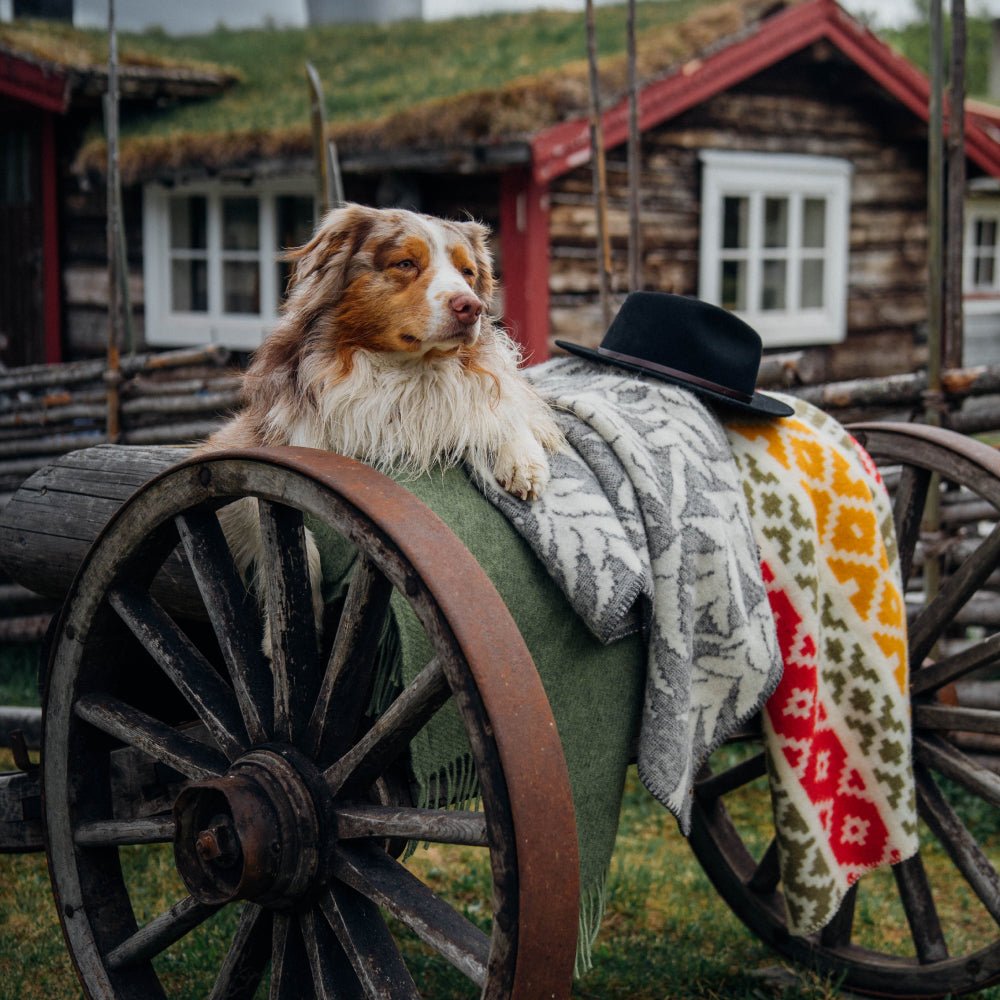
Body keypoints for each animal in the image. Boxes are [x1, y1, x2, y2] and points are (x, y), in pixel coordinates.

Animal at [199, 202, 568, 628]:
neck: (404, 371)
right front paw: (293, 622)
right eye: (405, 263)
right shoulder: (240, 454)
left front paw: (523, 460)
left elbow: (501, 407)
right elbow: (275, 524)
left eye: (467, 272)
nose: (470, 307)